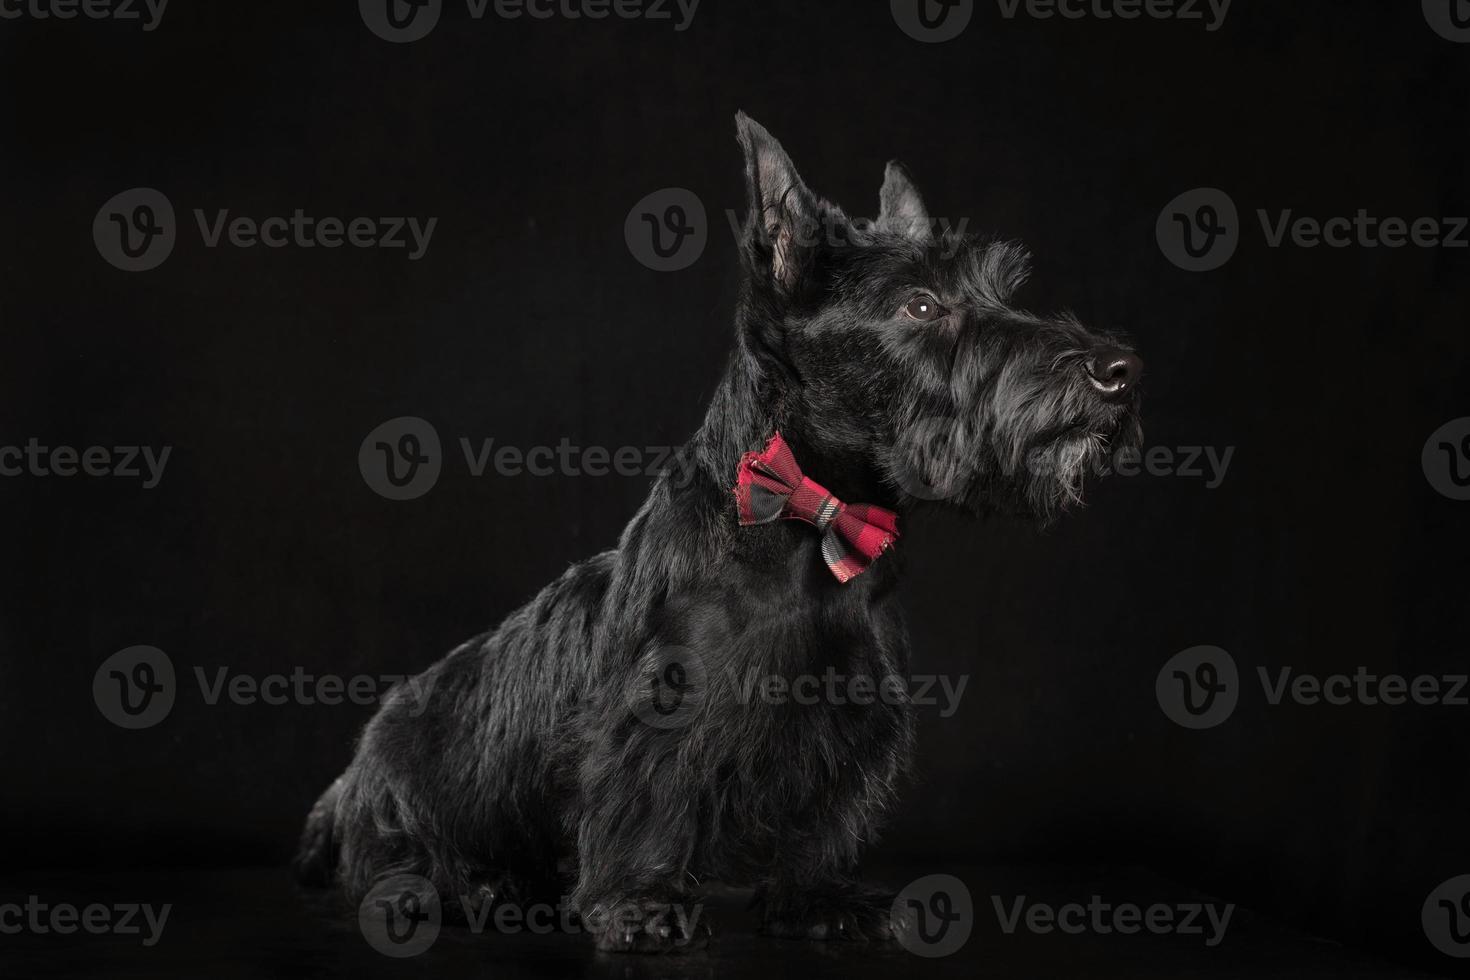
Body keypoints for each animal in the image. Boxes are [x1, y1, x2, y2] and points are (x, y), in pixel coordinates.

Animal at [295, 113, 1146, 952]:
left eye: (1000, 290)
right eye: (921, 307)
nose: (1119, 369)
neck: (811, 520)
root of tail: (344, 783)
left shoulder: (845, 716)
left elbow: (820, 815)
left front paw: (816, 899)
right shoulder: (659, 710)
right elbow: (643, 799)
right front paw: (638, 905)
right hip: (401, 810)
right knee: (394, 873)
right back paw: (478, 887)